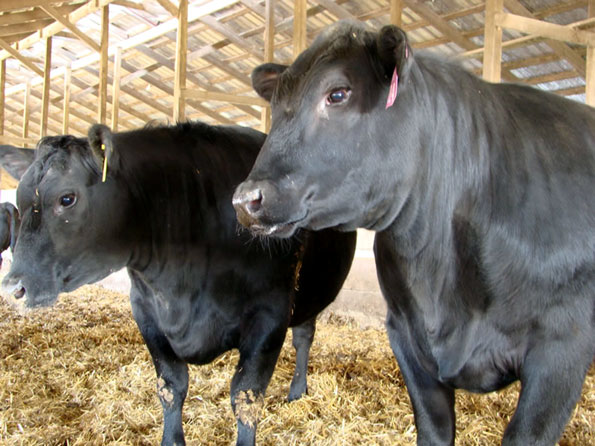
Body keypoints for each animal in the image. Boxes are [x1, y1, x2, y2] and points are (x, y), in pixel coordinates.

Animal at [2, 123, 356, 446]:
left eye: (67, 198)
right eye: (18, 198)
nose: (12, 287)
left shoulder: (270, 316)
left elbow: (245, 398)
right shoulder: (146, 311)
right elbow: (171, 387)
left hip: (310, 292)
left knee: (304, 338)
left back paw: (297, 390)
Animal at [234, 20, 595, 446]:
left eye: (337, 93)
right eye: (276, 107)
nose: (245, 199)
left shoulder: (561, 349)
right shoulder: (406, 334)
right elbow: (434, 430)